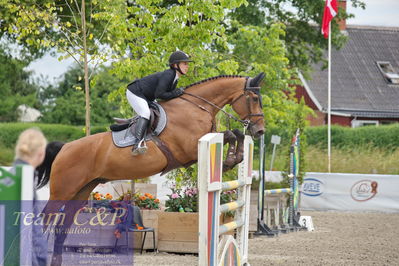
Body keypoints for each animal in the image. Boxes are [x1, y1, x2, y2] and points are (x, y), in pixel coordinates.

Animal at [39, 73, 266, 266]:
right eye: (254, 98)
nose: (260, 131)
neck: (197, 107)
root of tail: (65, 148)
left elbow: (235, 133)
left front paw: (236, 158)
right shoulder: (189, 149)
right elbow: (230, 134)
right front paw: (230, 160)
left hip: (81, 191)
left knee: (62, 226)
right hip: (63, 191)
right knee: (45, 220)